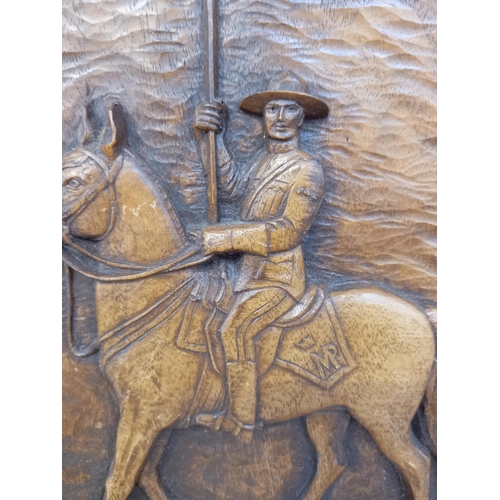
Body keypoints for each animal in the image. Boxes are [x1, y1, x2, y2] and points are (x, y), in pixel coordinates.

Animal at [62, 103, 436, 498]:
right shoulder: (156, 421)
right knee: (333, 462)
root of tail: (423, 316)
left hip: (384, 418)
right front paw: (207, 120)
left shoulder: (142, 416)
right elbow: (146, 476)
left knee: (416, 464)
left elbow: (119, 480)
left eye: (74, 182)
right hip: (329, 410)